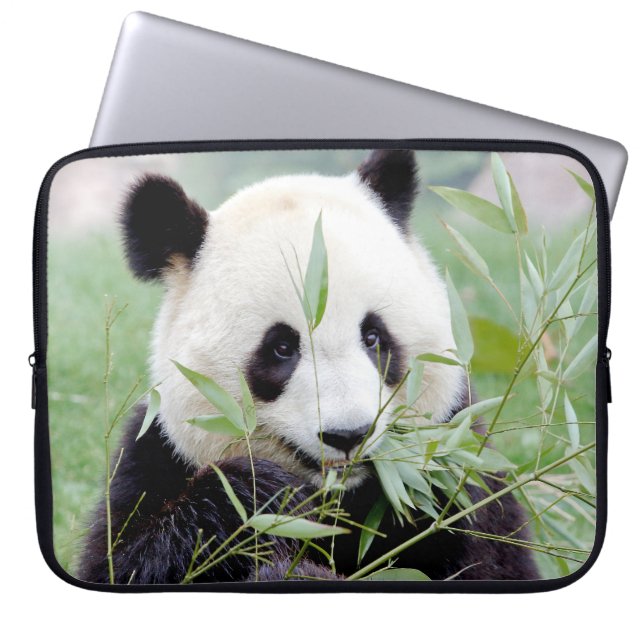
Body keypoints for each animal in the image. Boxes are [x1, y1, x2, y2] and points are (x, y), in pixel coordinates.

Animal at [78, 149, 539, 584]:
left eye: (373, 337)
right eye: (282, 348)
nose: (348, 435)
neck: (342, 499)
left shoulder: (460, 468)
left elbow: (492, 559)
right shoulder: (156, 458)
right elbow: (129, 558)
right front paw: (266, 499)